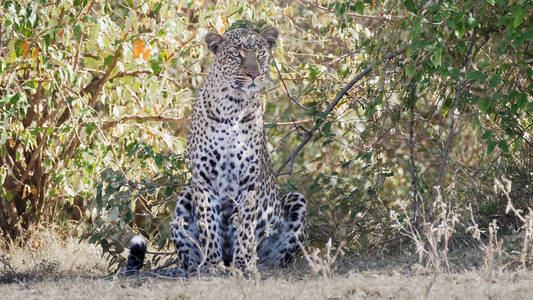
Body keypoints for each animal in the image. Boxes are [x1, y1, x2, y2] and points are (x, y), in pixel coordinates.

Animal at [124, 25, 306, 276]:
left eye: (260, 54)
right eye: (237, 54)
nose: (254, 74)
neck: (233, 107)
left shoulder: (249, 183)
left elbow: (245, 228)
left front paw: (244, 265)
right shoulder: (204, 180)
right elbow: (208, 226)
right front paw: (212, 266)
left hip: (296, 200)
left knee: (279, 257)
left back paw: (259, 265)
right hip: (185, 198)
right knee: (188, 260)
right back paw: (199, 268)